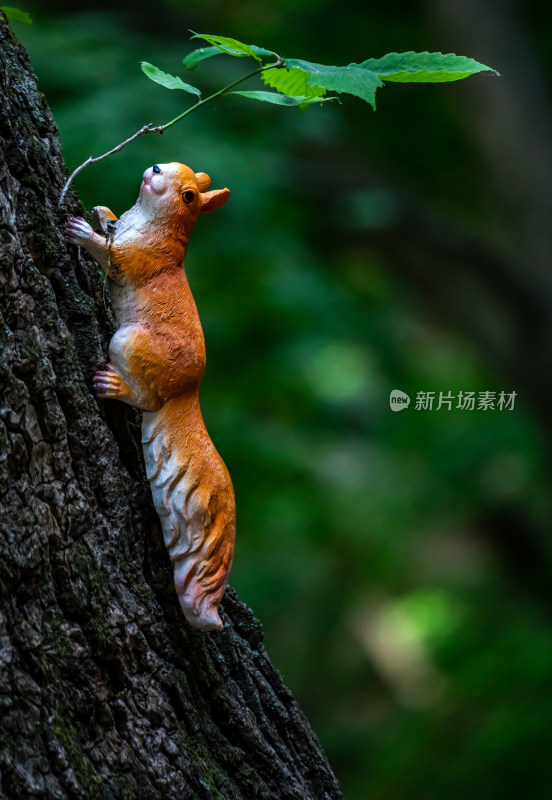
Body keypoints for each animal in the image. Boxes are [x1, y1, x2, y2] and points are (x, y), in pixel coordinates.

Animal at [66, 159, 234, 628]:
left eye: (189, 197)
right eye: (174, 165)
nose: (156, 167)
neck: (146, 219)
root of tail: (186, 393)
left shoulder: (140, 258)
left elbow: (113, 256)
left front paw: (83, 231)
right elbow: (110, 224)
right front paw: (101, 212)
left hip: (129, 342)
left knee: (145, 401)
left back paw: (114, 386)